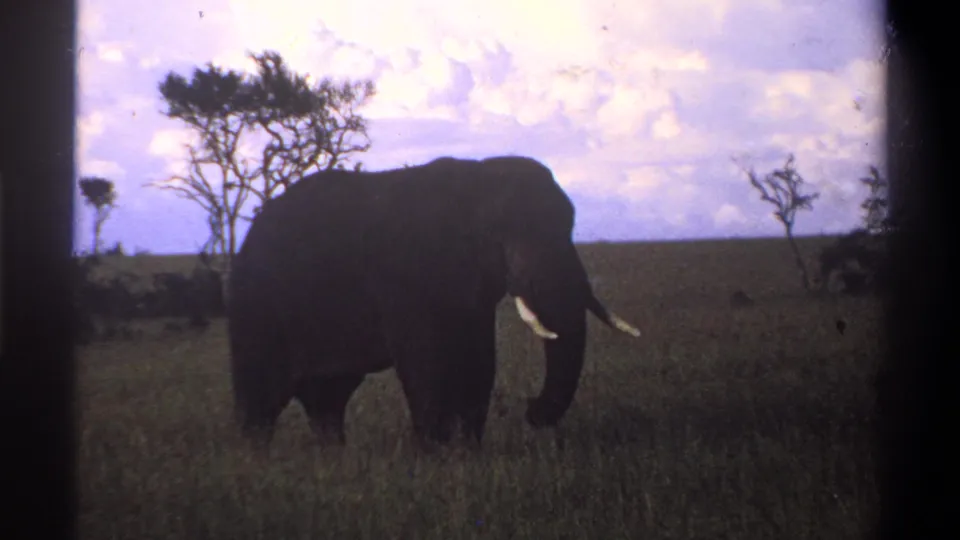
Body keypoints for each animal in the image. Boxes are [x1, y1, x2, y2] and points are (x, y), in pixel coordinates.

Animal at [227, 155, 640, 450]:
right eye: (508, 234)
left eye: (569, 226)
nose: (530, 410)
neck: (477, 181)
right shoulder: (407, 277)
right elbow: (425, 364)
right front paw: (435, 455)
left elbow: (479, 361)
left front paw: (468, 452)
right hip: (256, 308)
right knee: (261, 401)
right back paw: (255, 462)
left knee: (327, 399)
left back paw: (334, 458)